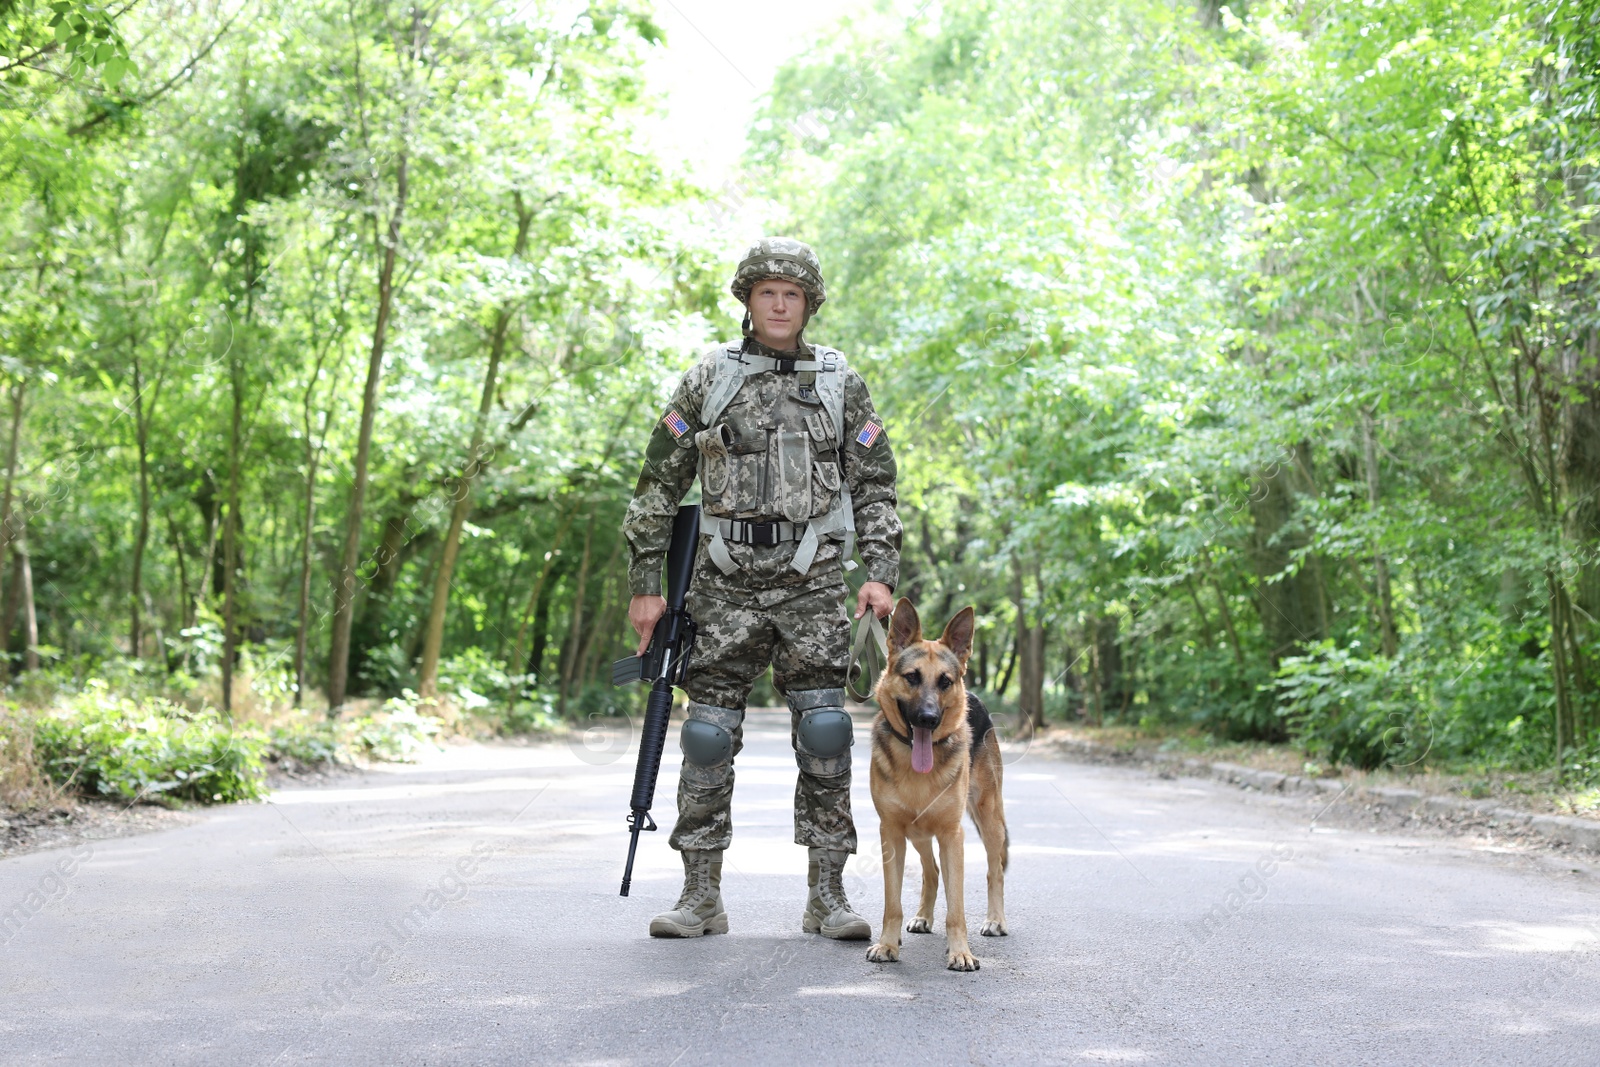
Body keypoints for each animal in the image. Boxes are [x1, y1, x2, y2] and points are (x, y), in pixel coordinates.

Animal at [870, 598, 1004, 972]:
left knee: (995, 871)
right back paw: (921, 917)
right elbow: (892, 903)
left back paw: (995, 920)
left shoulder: (951, 835)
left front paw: (960, 952)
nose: (928, 719)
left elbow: (956, 908)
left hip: (988, 819)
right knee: (931, 871)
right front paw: (888, 944)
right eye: (912, 677)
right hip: (917, 833)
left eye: (945, 682)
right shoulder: (891, 833)